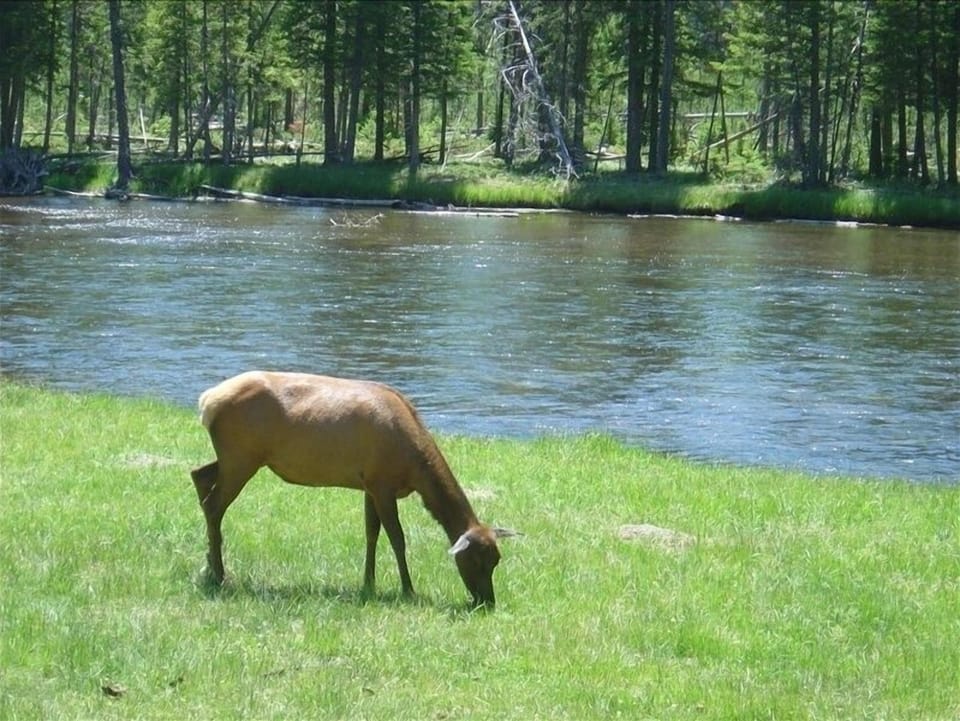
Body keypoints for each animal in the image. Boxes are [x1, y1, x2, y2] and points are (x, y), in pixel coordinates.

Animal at [190, 371, 515, 608]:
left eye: (497, 560)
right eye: (476, 560)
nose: (487, 602)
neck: (413, 467)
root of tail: (206, 402)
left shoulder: (369, 484)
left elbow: (371, 533)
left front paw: (368, 583)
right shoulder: (382, 483)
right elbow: (397, 538)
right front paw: (408, 589)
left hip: (236, 458)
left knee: (199, 476)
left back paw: (208, 566)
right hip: (241, 457)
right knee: (214, 504)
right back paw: (220, 574)